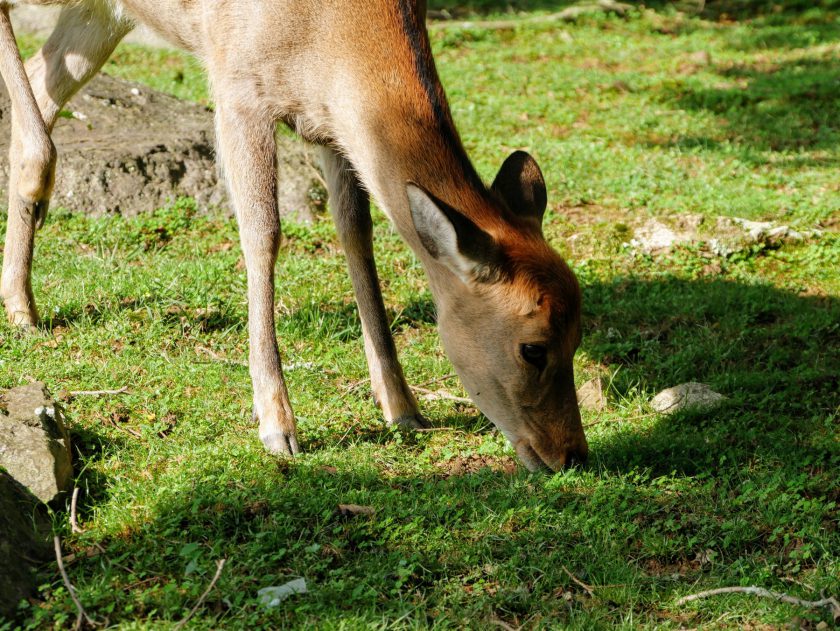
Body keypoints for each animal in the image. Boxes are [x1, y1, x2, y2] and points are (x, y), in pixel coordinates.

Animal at [0, 1, 588, 474]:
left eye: (580, 335)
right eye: (532, 348)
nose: (571, 455)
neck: (330, 34)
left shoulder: (329, 126)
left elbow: (356, 233)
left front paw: (403, 408)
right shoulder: (236, 85)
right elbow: (263, 234)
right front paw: (278, 426)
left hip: (100, 15)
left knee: (44, 74)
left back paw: (21, 301)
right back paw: (37, 183)